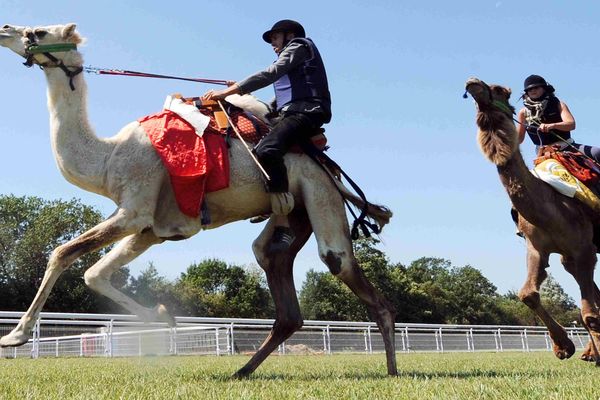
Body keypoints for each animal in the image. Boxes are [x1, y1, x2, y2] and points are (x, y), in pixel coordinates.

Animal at [0, 23, 400, 376]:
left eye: (38, 31)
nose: (5, 28)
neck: (108, 155)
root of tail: (328, 162)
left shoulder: (134, 209)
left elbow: (62, 253)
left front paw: (14, 336)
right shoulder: (153, 228)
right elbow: (94, 272)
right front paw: (162, 315)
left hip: (319, 192)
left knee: (346, 268)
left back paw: (392, 370)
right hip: (293, 211)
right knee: (275, 273)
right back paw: (241, 371)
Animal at [466, 76, 600, 360]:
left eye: (501, 90)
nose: (472, 84)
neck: (549, 206)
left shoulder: (583, 247)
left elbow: (589, 314)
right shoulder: (539, 247)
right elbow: (527, 294)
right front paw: (564, 347)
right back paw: (589, 353)